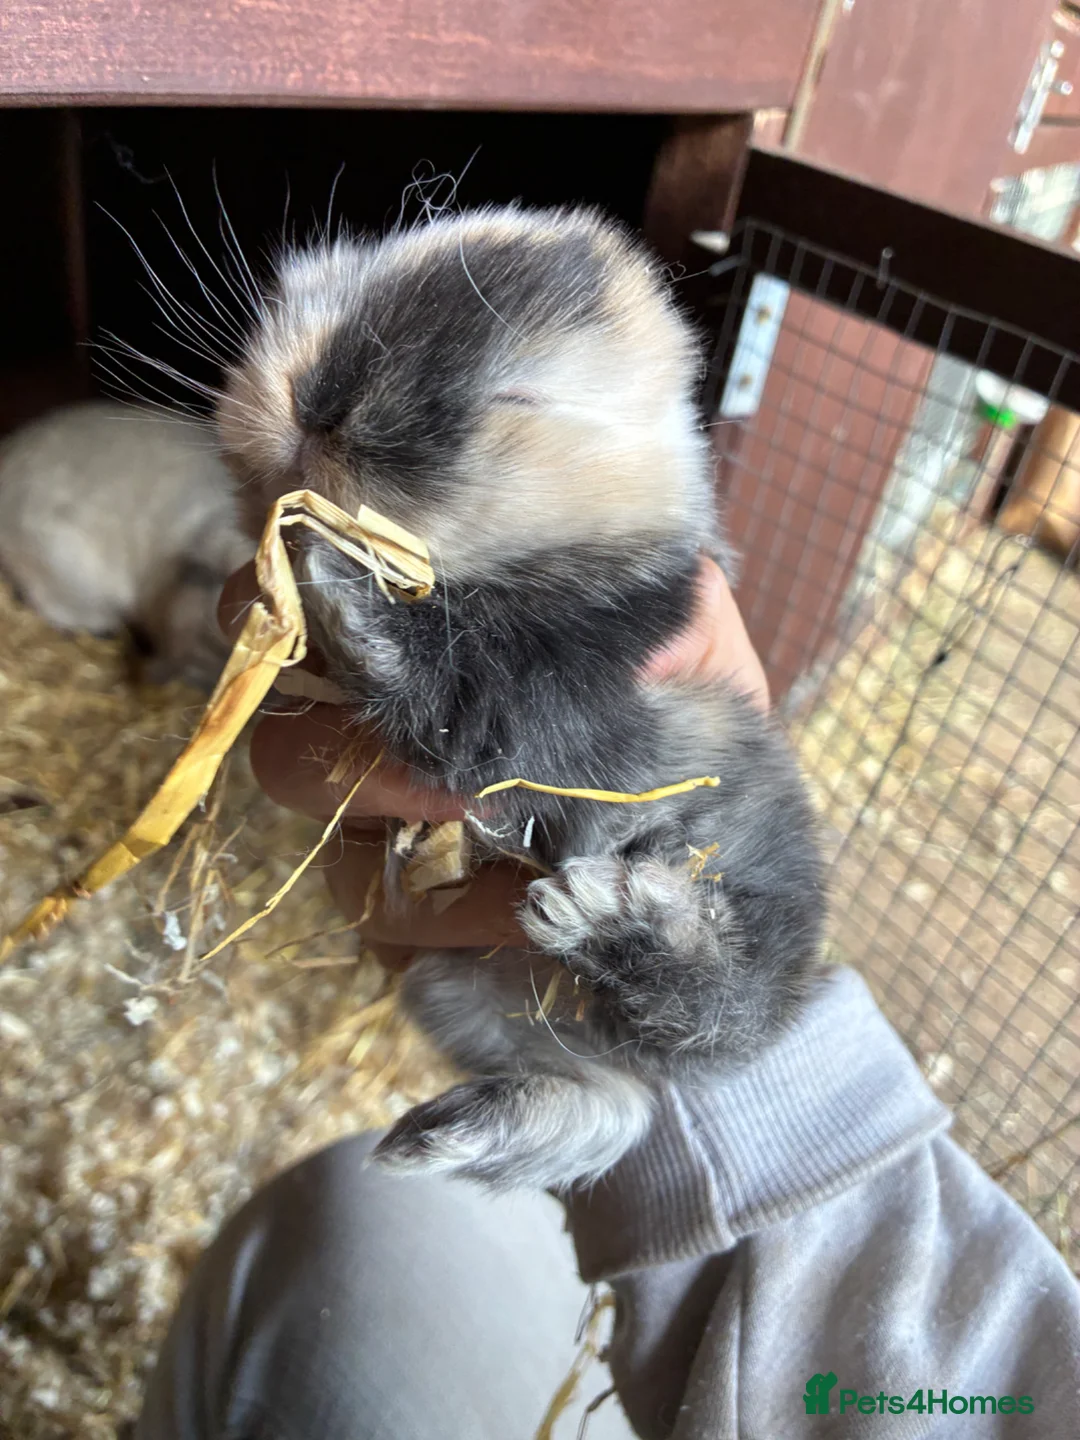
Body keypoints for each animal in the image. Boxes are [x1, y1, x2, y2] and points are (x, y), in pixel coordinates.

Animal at [216, 206, 825, 1191]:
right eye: (349, 288)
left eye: (518, 403)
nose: (323, 410)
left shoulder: (528, 712)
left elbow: (443, 690)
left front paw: (333, 572)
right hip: (459, 989)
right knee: (610, 1104)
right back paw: (435, 1139)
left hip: (743, 912)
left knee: (717, 1011)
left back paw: (613, 917)